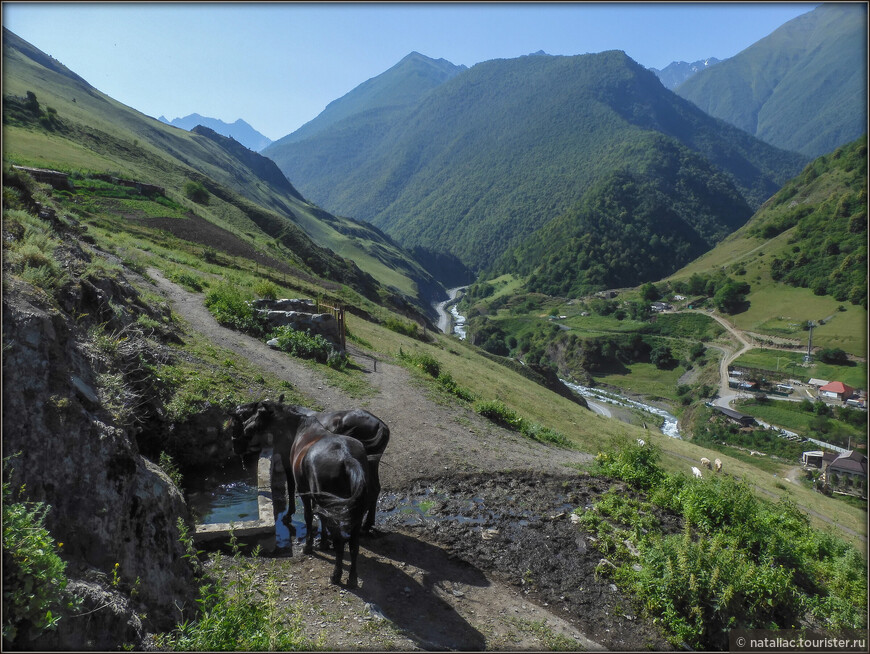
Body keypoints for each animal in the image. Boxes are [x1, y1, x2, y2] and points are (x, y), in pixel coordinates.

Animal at [228, 398, 388, 536]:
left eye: (235, 423)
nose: (236, 448)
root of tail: (381, 425)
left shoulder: (288, 464)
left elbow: (291, 487)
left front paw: (289, 514)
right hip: (371, 466)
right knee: (374, 489)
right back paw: (366, 524)